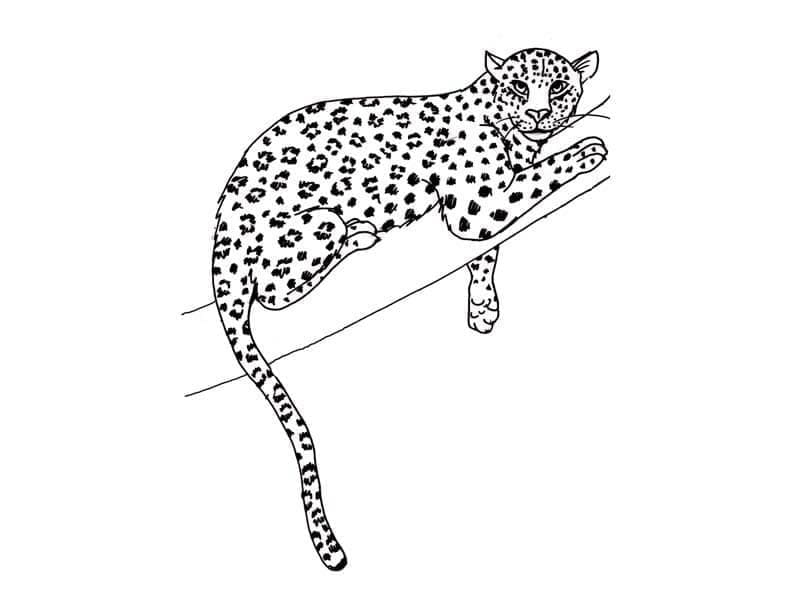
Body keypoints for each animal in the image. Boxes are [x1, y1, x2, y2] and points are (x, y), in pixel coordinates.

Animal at [211, 47, 607, 570]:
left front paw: (482, 306)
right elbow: (534, 182)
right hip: (316, 223)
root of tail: (221, 239)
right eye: (520, 86)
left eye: (559, 87)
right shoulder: (477, 206)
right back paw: (358, 236)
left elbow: (487, 251)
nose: (541, 113)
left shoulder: (482, 213)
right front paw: (586, 151)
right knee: (275, 292)